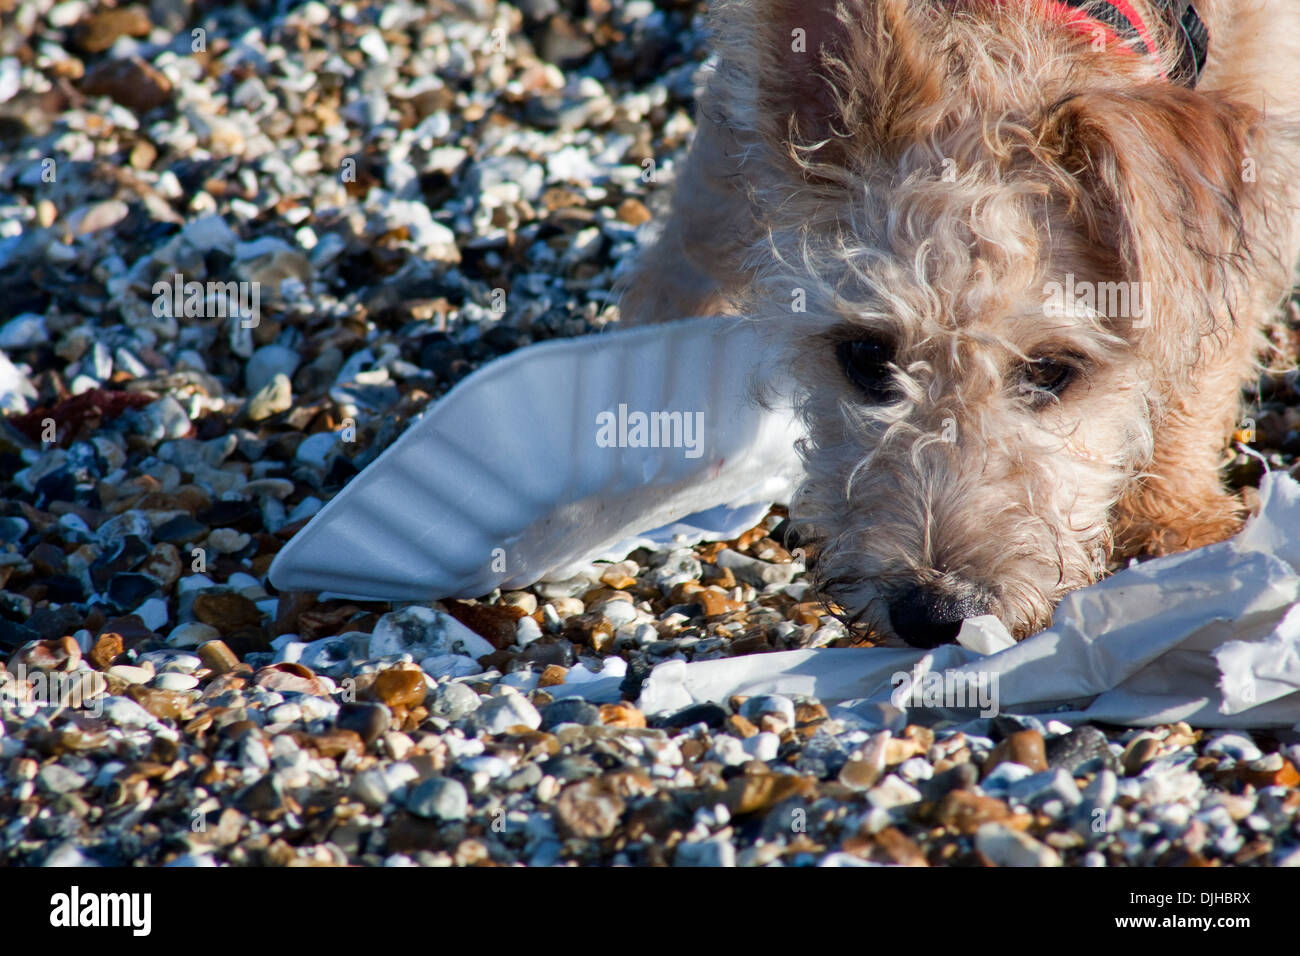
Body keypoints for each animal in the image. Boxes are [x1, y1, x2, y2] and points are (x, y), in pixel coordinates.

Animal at [613, 0, 1300, 647]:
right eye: (865, 356)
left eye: (1051, 370)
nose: (936, 614)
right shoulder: (725, 150)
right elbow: (683, 266)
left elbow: (1200, 357)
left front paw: (1175, 526)